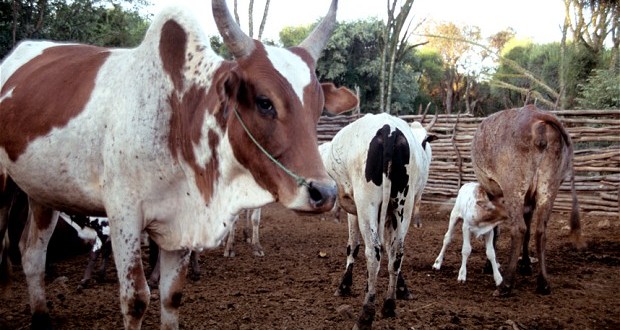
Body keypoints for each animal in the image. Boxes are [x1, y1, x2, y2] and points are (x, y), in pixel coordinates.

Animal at [0, 0, 358, 328]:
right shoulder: (124, 215)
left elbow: (171, 296)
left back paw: (41, 316)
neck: (178, 117)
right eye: (264, 102)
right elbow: (135, 300)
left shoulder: (180, 222)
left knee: (32, 253)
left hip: (42, 193)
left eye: (318, 108)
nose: (324, 193)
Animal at [324, 114, 436, 330]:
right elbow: (389, 249)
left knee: (373, 252)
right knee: (397, 251)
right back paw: (389, 305)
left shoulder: (355, 210)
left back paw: (366, 315)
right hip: (403, 205)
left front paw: (345, 286)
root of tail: (389, 130)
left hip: (367, 204)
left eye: (426, 140)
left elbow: (353, 246)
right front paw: (399, 288)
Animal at [472, 105, 584, 296]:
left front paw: (489, 265)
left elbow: (494, 230)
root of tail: (538, 116)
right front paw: (525, 264)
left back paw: (506, 284)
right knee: (540, 231)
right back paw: (543, 283)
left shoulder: (493, 191)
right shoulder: (529, 201)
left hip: (514, 188)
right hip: (548, 189)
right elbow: (529, 229)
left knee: (518, 229)